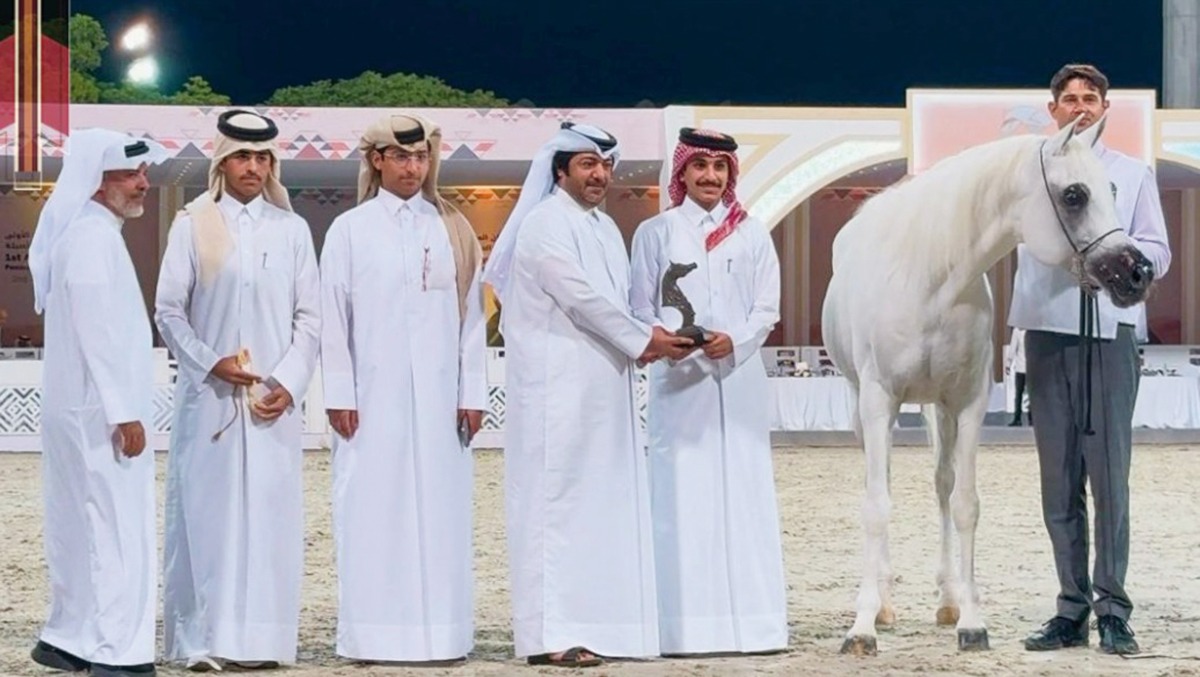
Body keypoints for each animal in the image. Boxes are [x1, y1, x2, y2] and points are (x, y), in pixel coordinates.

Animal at [820, 115, 1154, 655]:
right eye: (1075, 195)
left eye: (1112, 189)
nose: (1138, 272)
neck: (930, 281)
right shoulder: (877, 401)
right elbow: (876, 507)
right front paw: (862, 627)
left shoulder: (968, 404)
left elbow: (964, 504)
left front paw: (971, 620)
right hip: (863, 406)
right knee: (882, 483)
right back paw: (886, 605)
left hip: (936, 410)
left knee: (941, 484)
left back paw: (947, 600)